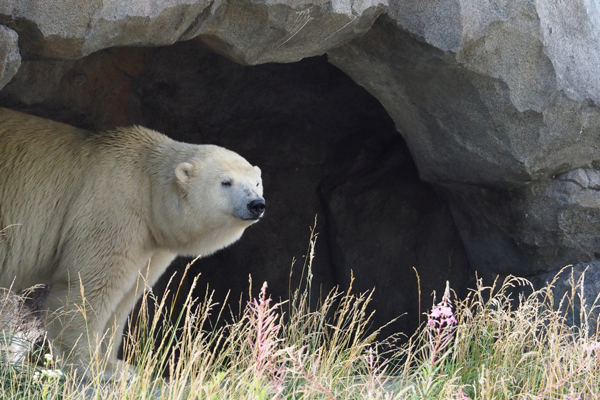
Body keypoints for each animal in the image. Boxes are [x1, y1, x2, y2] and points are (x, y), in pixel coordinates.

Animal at [0, 107, 264, 378]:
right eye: (226, 182)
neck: (147, 187)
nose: (256, 204)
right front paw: (92, 365)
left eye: (256, 183)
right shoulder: (112, 207)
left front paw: (115, 363)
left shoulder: (151, 241)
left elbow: (127, 294)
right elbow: (90, 288)